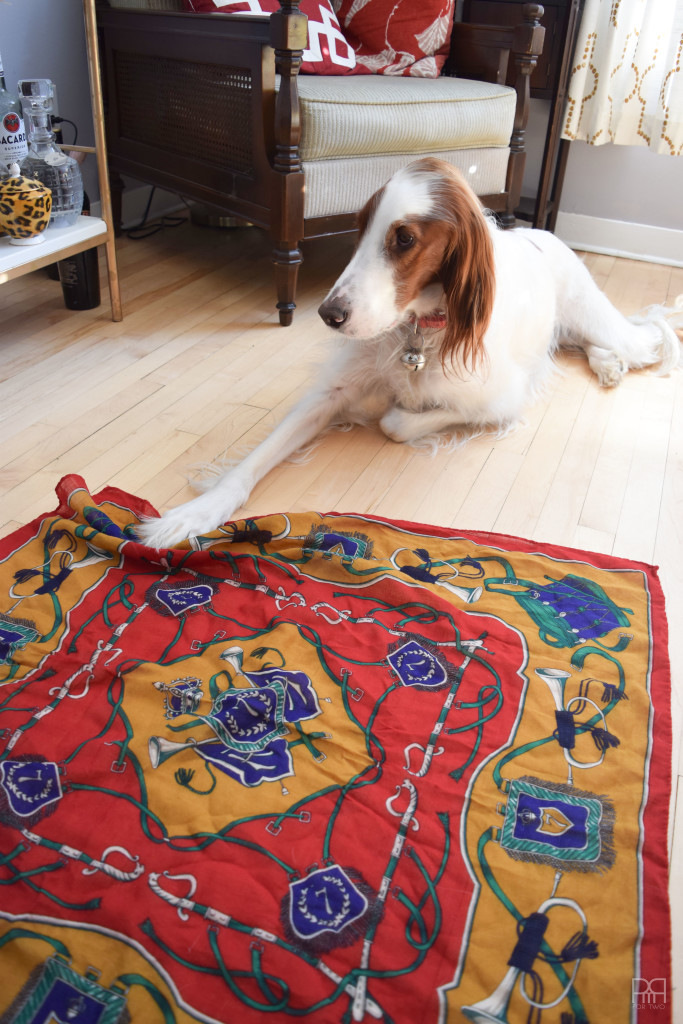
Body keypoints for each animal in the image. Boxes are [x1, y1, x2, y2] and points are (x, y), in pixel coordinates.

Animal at [137, 154, 679, 548]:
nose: (328, 314)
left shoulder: (501, 402)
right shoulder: (330, 392)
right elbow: (255, 459)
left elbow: (397, 422)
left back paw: (619, 356)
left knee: (647, 336)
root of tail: (540, 230)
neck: (419, 332)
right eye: (359, 227)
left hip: (596, 315)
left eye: (404, 238)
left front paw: (396, 407)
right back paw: (607, 363)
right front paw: (194, 514)